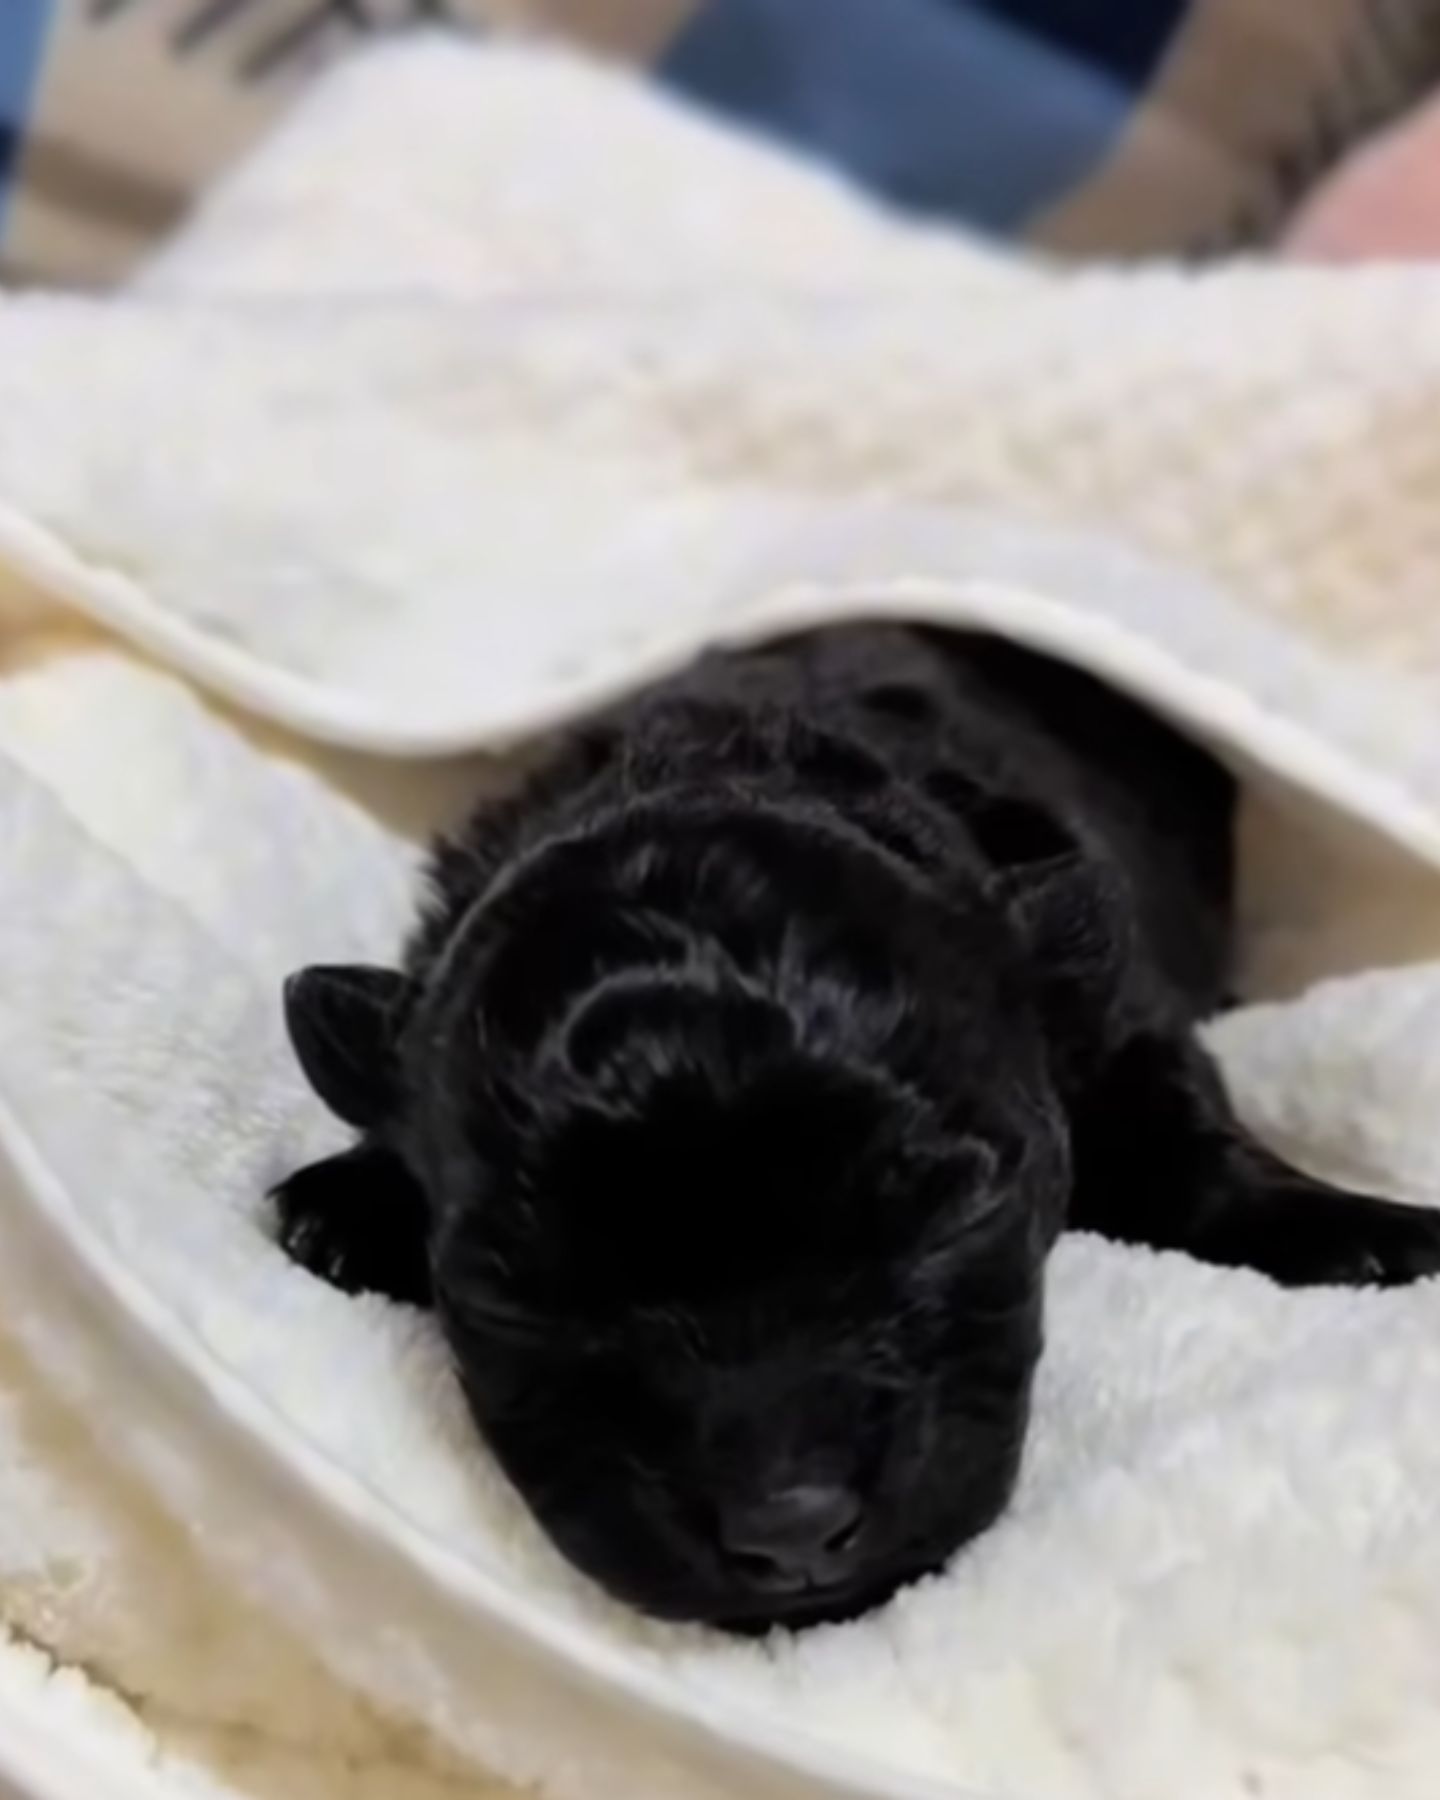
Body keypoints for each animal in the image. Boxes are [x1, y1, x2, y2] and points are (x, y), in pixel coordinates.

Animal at [270, 630, 1440, 1634]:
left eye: (946, 1215)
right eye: (519, 1292)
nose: (788, 1530)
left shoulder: (1122, 1017)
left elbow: (1187, 1143)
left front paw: (1361, 1234)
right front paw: (346, 1202)